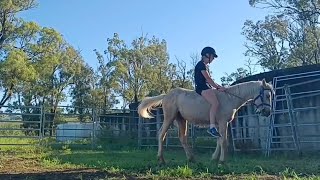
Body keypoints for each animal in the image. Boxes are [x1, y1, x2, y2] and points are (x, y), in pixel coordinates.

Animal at [138, 79, 276, 165]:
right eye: (267, 95)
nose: (267, 112)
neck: (230, 98)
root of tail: (166, 95)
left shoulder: (219, 125)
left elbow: (219, 141)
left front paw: (214, 159)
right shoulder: (223, 123)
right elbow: (224, 141)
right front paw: (222, 161)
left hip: (181, 120)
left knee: (182, 138)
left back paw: (191, 159)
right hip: (169, 117)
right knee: (161, 134)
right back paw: (161, 159)